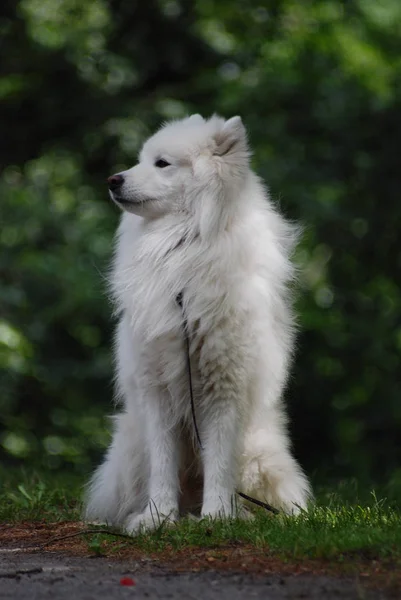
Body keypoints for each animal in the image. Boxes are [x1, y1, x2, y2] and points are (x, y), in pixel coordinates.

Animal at [83, 113, 310, 536]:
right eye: (140, 160)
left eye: (162, 164)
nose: (112, 179)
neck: (180, 248)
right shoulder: (156, 388)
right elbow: (163, 466)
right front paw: (157, 517)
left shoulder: (223, 388)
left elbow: (218, 463)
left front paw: (218, 516)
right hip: (131, 446)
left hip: (257, 455)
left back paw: (241, 515)